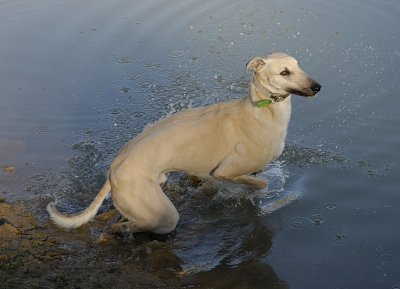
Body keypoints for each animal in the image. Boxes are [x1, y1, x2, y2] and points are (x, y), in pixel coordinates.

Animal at [47, 51, 322, 234]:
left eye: (298, 66)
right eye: (284, 72)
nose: (318, 87)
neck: (262, 111)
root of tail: (113, 169)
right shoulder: (226, 171)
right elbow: (260, 183)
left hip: (152, 188)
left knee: (116, 214)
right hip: (162, 215)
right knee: (131, 226)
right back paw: (118, 230)